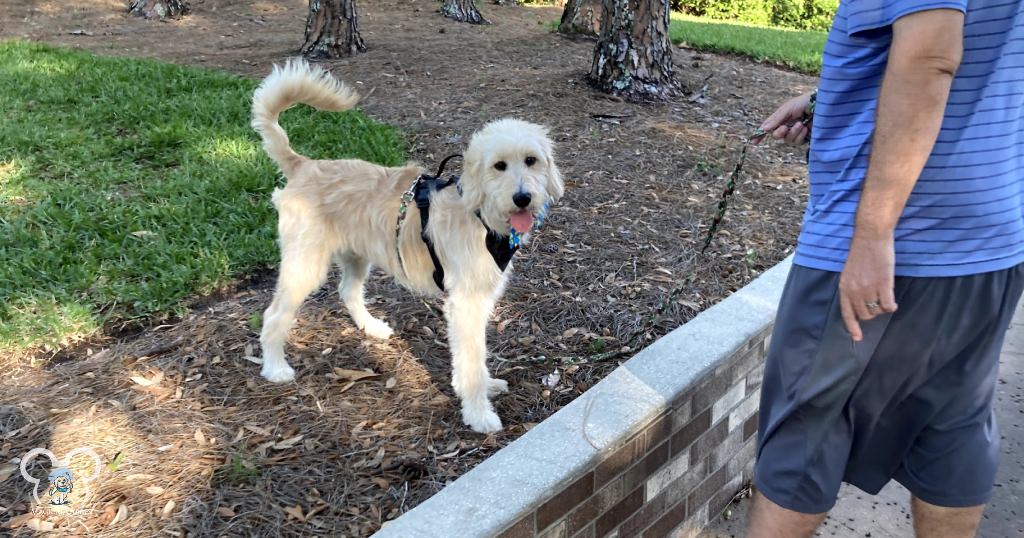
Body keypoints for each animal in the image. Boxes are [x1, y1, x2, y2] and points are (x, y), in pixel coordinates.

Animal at [250, 59, 565, 432]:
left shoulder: (480, 300)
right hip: (304, 265)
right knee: (274, 315)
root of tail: (304, 166)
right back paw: (274, 367)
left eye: (531, 160)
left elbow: (476, 357)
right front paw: (478, 413)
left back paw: (371, 327)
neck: (480, 213)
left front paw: (486, 386)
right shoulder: (465, 303)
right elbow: (471, 361)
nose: (522, 198)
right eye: (499, 166)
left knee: (347, 291)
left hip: (356, 256)